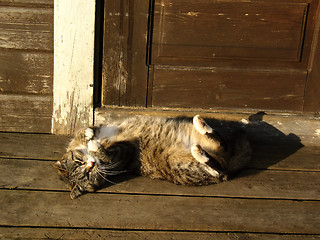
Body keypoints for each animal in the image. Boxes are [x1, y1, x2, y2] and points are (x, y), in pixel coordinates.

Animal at [53, 114, 251, 199]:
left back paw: (201, 124)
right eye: (87, 176)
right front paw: (94, 145)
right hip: (183, 166)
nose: (92, 164)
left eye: (80, 163)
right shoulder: (125, 153)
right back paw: (199, 150)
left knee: (219, 143)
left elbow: (83, 130)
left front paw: (88, 135)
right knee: (218, 169)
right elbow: (107, 153)